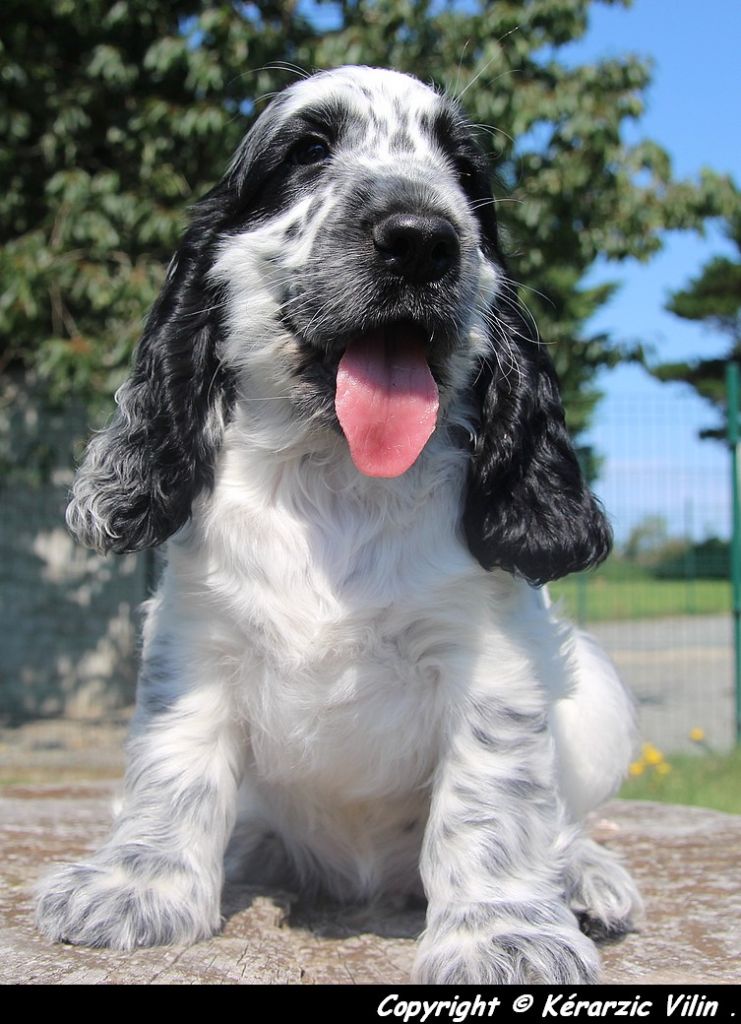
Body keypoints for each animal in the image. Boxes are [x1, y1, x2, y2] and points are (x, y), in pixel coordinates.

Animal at [36, 65, 640, 983]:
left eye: (466, 175)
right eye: (308, 151)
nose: (422, 239)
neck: (339, 482)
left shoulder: (490, 661)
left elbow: (490, 800)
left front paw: (501, 933)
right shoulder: (193, 637)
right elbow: (173, 767)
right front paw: (134, 886)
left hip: (595, 695)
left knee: (560, 819)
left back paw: (583, 876)